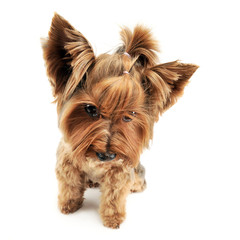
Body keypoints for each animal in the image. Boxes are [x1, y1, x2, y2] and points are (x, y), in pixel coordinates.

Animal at [41, 13, 199, 229]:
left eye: (129, 115)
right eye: (91, 109)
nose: (107, 155)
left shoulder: (120, 170)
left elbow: (114, 195)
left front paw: (113, 217)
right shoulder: (67, 162)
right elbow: (70, 184)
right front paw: (69, 205)